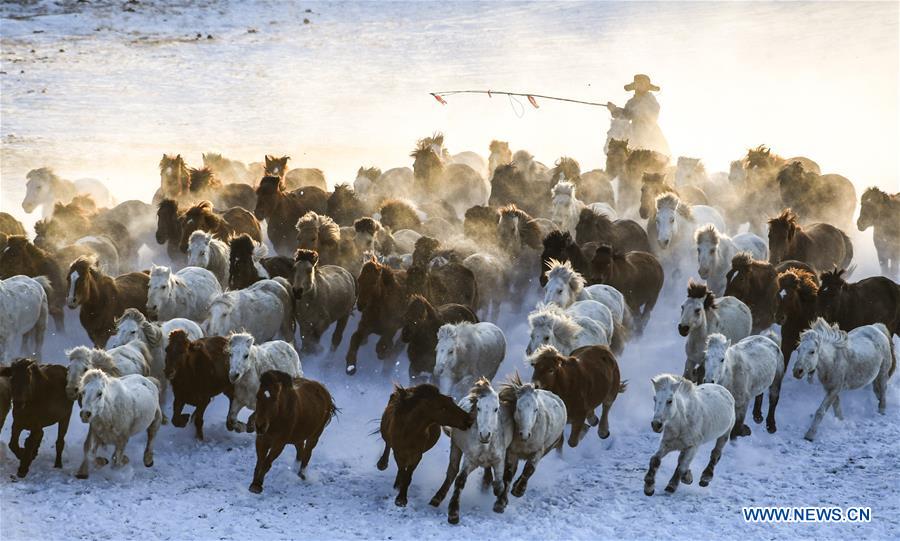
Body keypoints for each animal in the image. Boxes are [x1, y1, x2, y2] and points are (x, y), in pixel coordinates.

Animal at [429, 378, 515, 523]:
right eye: (478, 408)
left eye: (496, 409)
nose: (485, 435)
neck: (485, 446)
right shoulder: (470, 460)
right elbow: (460, 479)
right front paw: (453, 513)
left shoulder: (499, 459)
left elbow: (499, 484)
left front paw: (500, 503)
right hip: (455, 447)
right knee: (452, 471)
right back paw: (437, 498)